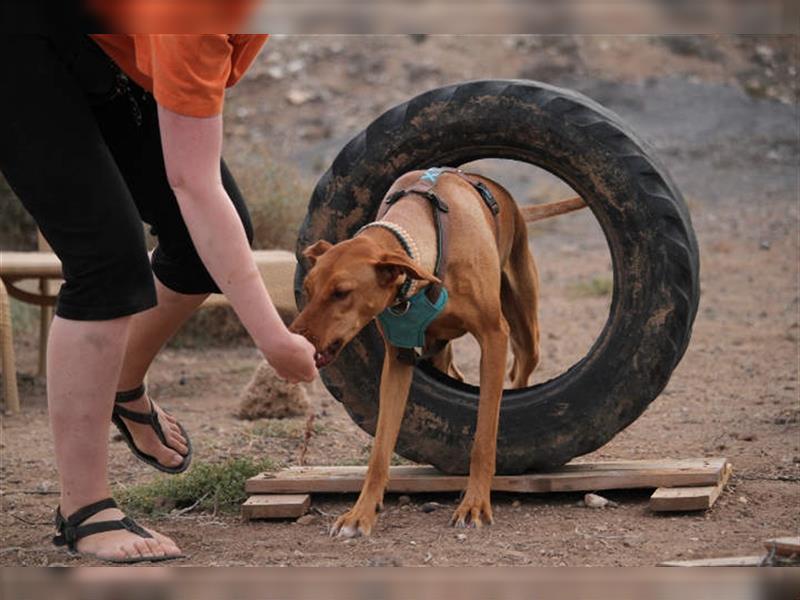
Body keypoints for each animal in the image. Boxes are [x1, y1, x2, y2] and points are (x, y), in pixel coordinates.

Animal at [290, 170, 584, 540]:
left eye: (342, 293)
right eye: (309, 289)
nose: (295, 340)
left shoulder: (493, 337)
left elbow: (483, 439)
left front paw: (474, 506)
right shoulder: (399, 359)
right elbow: (380, 450)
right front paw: (360, 513)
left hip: (524, 324)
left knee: (520, 369)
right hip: (438, 350)